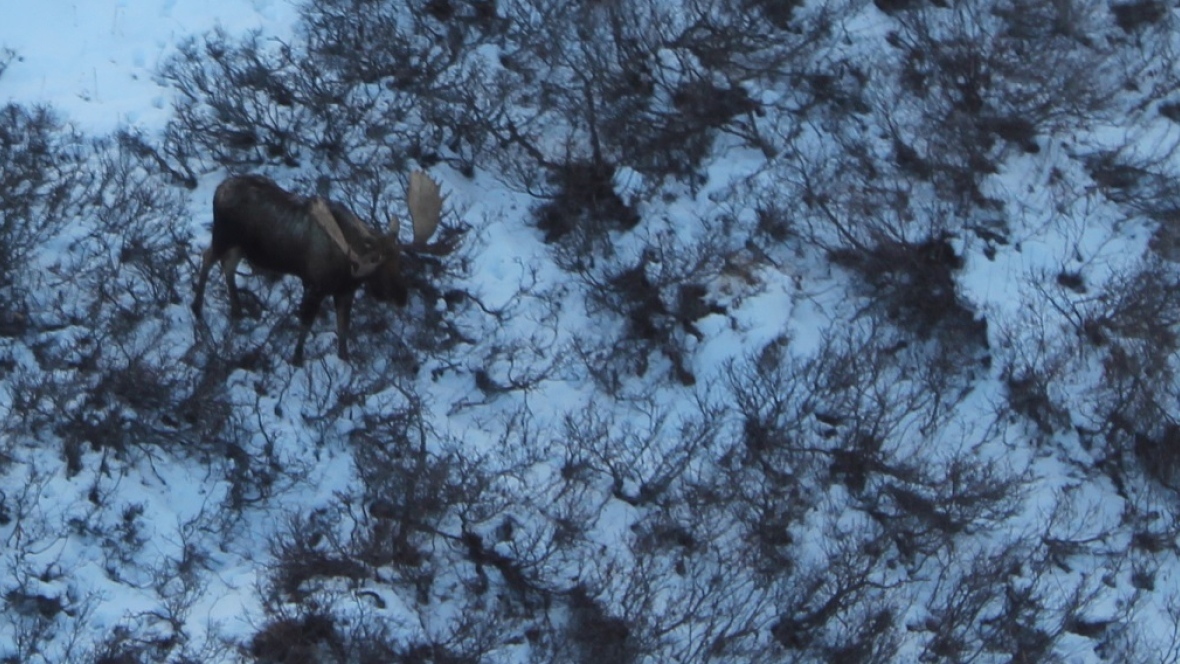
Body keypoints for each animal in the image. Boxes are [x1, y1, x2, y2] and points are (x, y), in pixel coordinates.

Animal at [193, 171, 443, 365]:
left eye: (399, 260)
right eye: (378, 265)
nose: (402, 296)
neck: (348, 267)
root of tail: (218, 190)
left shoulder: (345, 292)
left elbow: (343, 329)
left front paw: (344, 359)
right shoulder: (315, 286)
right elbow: (306, 322)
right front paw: (296, 358)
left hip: (240, 246)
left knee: (228, 265)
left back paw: (237, 309)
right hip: (224, 236)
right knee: (207, 257)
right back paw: (197, 306)